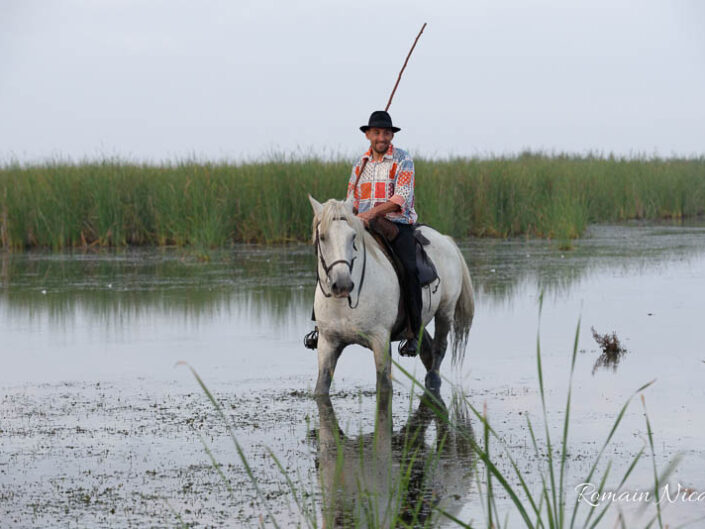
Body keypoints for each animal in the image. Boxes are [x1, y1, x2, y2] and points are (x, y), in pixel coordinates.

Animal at [308, 196, 472, 394]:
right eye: (322, 237)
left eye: (353, 236)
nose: (342, 284)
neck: (345, 304)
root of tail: (446, 240)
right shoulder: (327, 344)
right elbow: (321, 388)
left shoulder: (380, 341)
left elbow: (384, 386)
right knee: (426, 348)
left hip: (445, 311)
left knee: (439, 347)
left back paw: (433, 381)